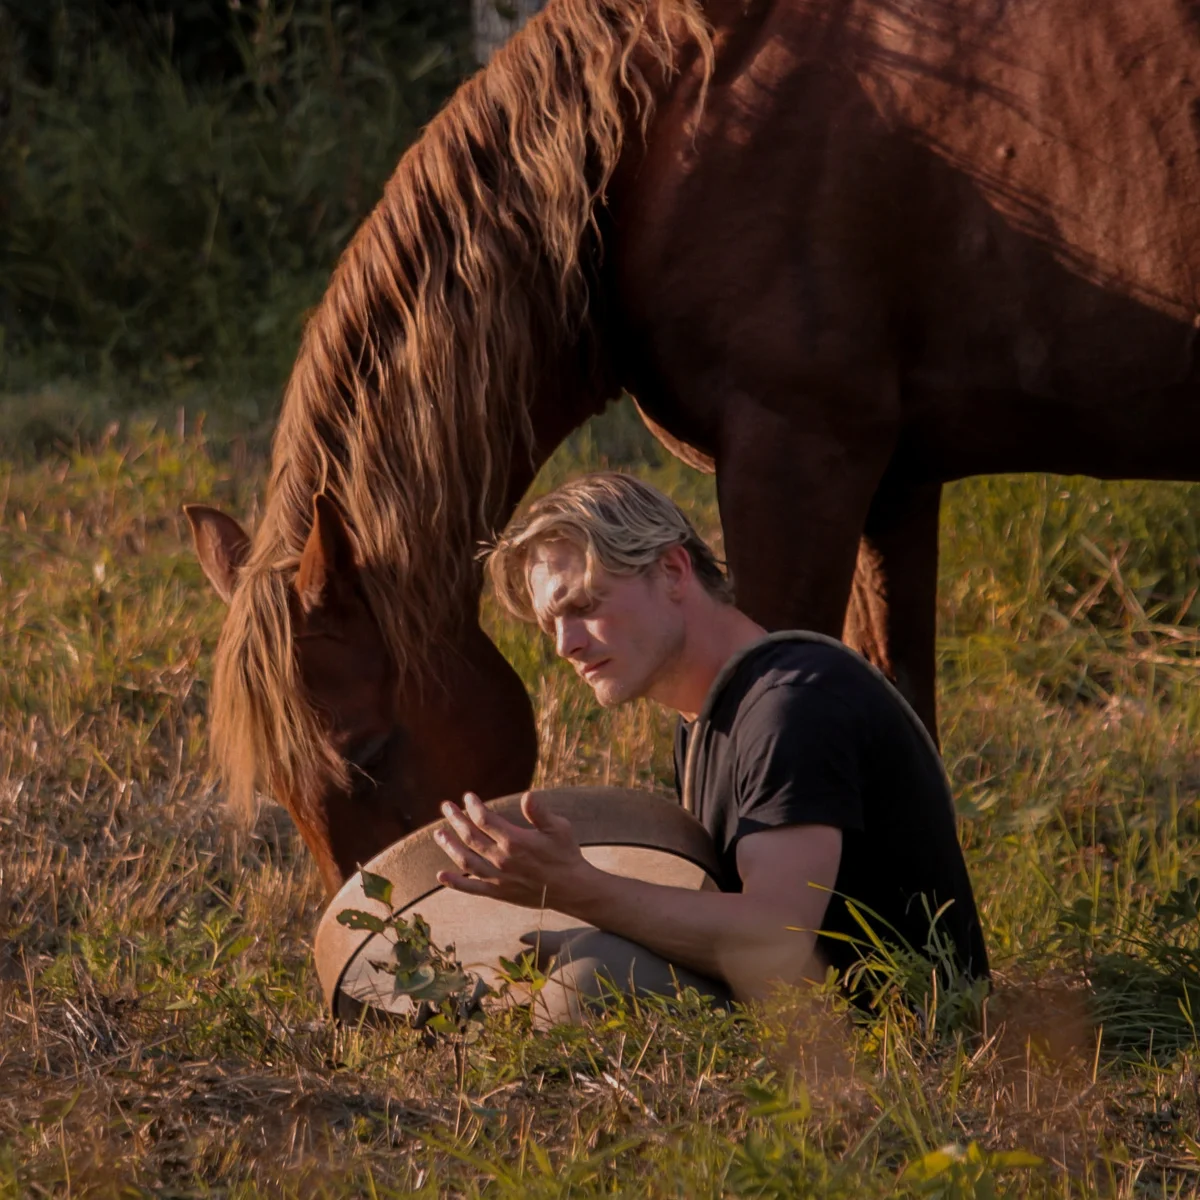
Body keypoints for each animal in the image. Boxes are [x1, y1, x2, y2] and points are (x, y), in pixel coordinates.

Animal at [182, 0, 1200, 897]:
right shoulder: (898, 483)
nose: (377, 931)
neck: (668, 126)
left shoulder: (797, 459)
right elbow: (901, 694)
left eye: (362, 756)